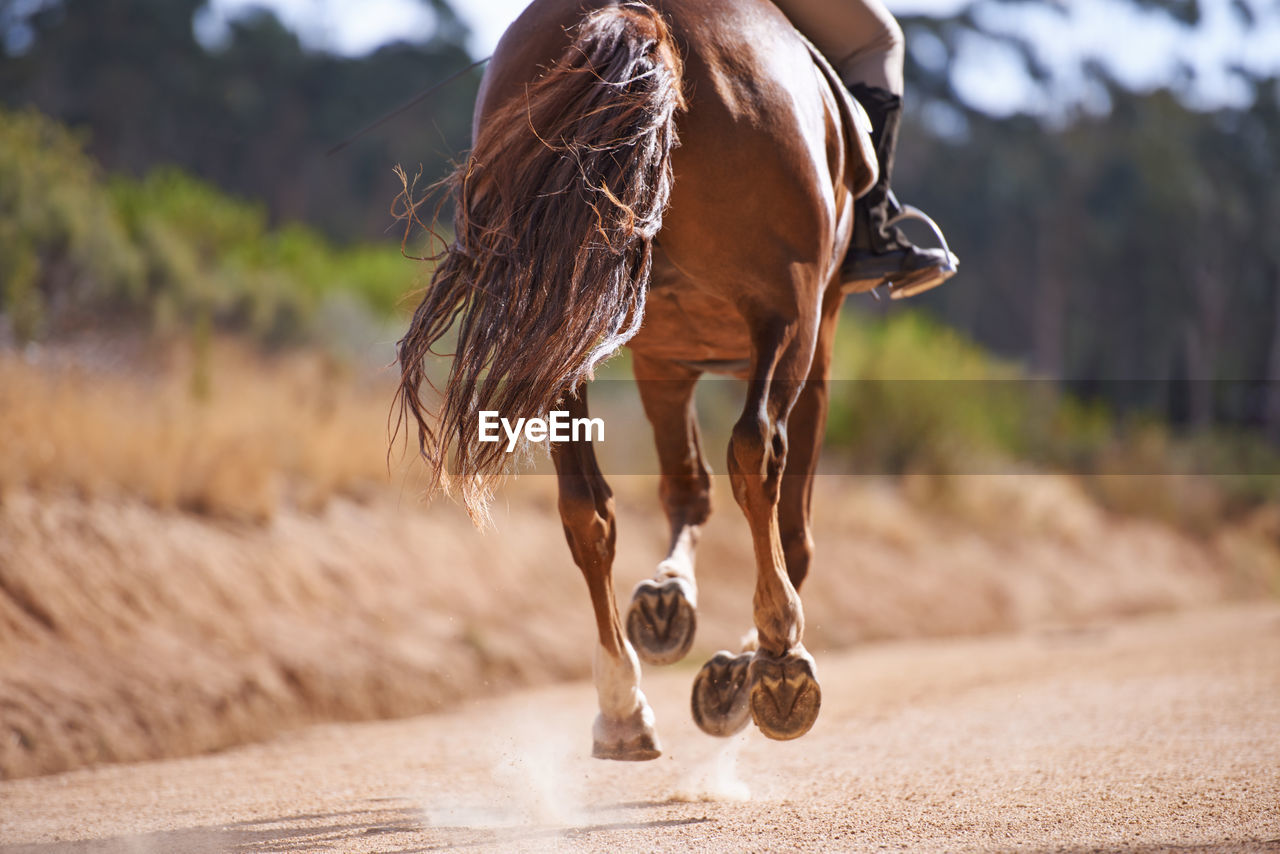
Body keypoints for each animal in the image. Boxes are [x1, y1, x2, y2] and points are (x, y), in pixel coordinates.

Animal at [396, 0, 880, 763]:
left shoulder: (661, 354)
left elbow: (683, 487)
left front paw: (670, 602)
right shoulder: (816, 326)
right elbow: (778, 510)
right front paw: (744, 662)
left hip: (562, 315)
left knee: (586, 507)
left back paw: (624, 704)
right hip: (790, 312)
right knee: (758, 455)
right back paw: (776, 658)